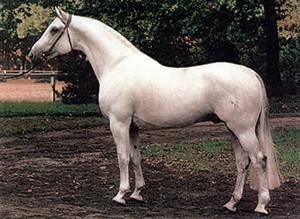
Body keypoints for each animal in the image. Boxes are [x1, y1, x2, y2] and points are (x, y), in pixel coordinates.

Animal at [27, 7, 282, 215]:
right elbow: (135, 157)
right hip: (233, 129)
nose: (32, 54)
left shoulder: (118, 123)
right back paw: (231, 203)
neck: (117, 64)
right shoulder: (132, 126)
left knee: (259, 159)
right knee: (242, 163)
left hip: (243, 130)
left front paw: (120, 195)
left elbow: (122, 157)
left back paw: (261, 205)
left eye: (54, 29)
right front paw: (137, 193)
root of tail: (251, 74)